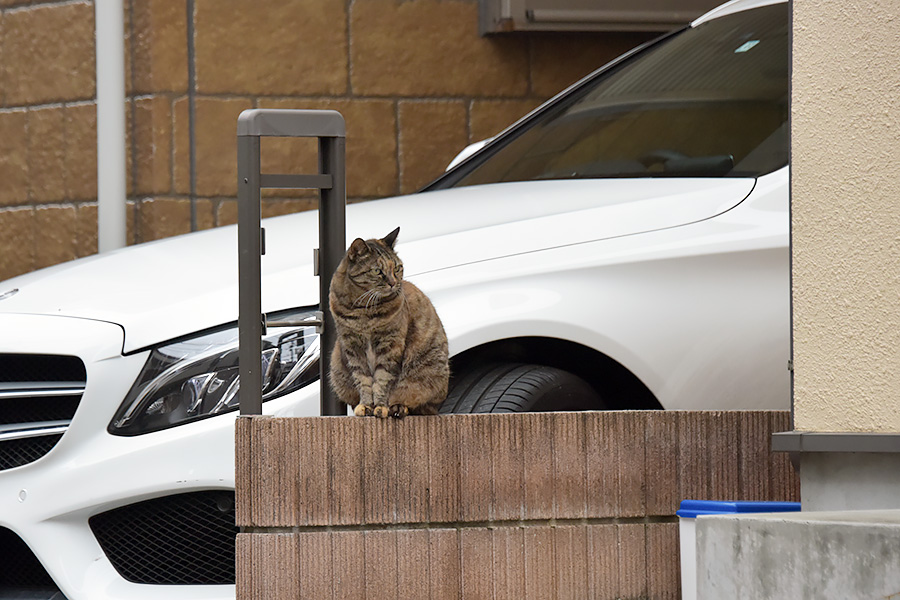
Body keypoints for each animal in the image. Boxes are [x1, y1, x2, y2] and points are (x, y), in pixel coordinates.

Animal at [326, 227, 450, 420]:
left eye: (397, 268)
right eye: (377, 271)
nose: (393, 283)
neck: (363, 310)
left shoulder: (390, 345)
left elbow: (382, 379)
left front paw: (380, 406)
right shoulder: (352, 346)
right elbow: (363, 379)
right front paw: (366, 406)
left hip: (429, 371)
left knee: (420, 405)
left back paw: (398, 408)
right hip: (337, 369)